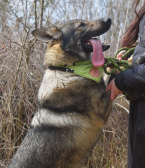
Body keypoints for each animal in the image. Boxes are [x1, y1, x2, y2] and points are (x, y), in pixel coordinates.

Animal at [7, 18, 112, 168]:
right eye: (81, 25)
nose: (108, 19)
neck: (67, 69)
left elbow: (108, 75)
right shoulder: (102, 112)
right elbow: (114, 76)